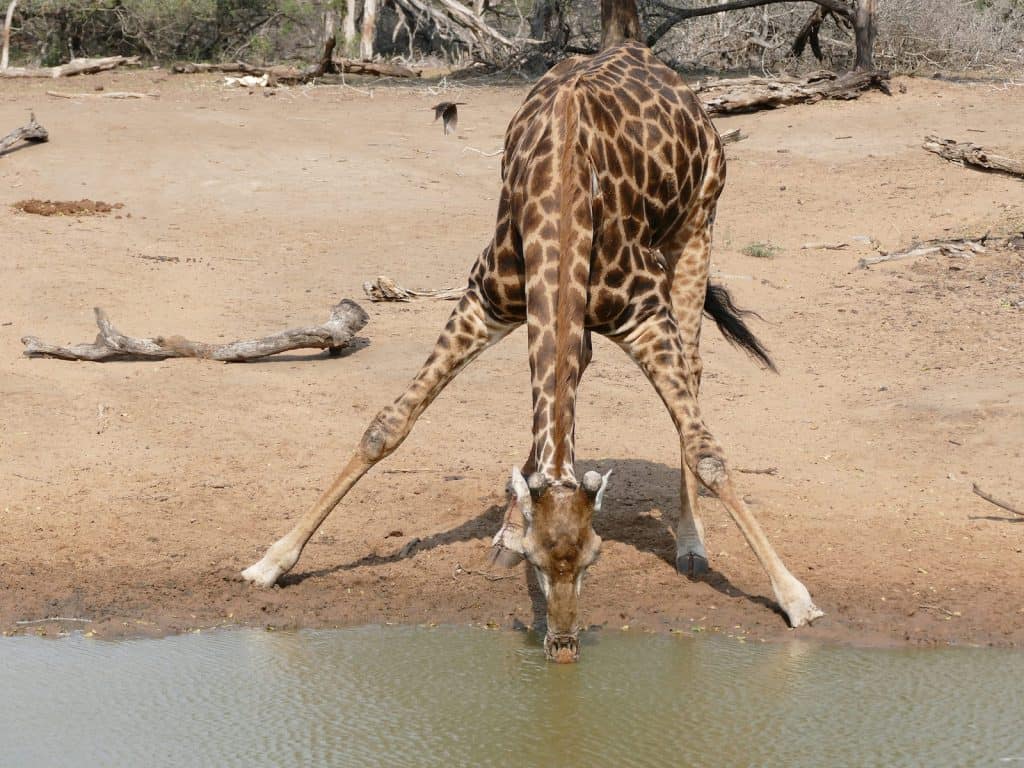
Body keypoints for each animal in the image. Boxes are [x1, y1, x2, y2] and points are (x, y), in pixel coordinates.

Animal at [239, 12, 823, 663]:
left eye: (594, 558)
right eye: (537, 561)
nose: (563, 645)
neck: (561, 184)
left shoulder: (644, 315)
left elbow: (708, 451)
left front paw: (795, 595)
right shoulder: (485, 301)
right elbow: (387, 426)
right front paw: (270, 561)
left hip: (698, 226)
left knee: (692, 373)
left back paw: (691, 545)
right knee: (579, 367)